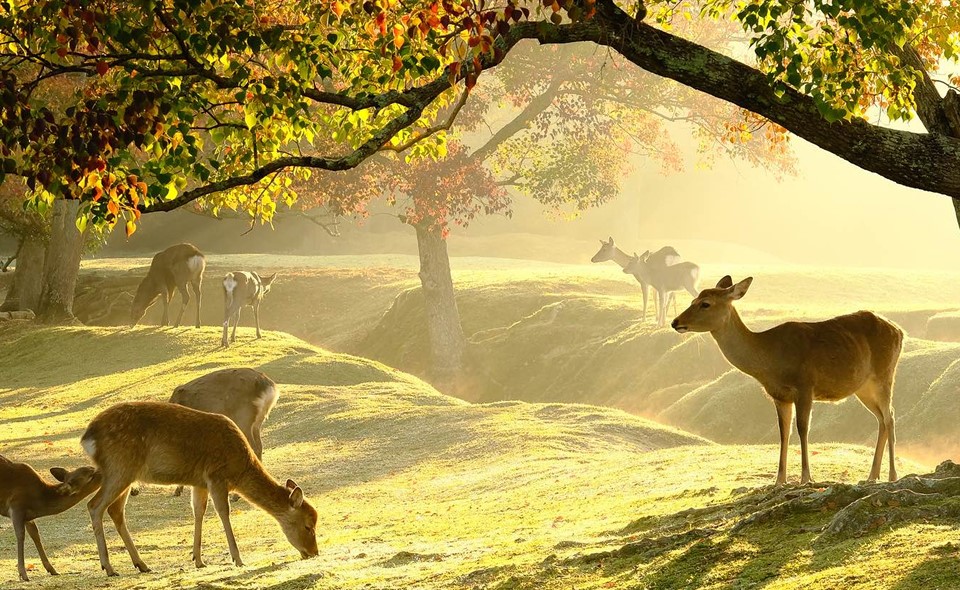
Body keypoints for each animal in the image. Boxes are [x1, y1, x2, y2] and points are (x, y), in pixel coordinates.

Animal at [0, 456, 101, 584]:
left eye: (91, 467)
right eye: (90, 475)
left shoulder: (28, 517)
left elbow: (35, 534)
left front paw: (52, 569)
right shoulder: (16, 506)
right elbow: (20, 535)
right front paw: (23, 574)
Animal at [80, 402, 316, 580]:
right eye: (308, 526)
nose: (314, 552)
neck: (239, 468)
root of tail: (87, 438)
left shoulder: (199, 482)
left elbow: (198, 511)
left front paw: (198, 560)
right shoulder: (216, 475)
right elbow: (223, 512)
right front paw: (238, 559)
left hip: (126, 475)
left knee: (115, 511)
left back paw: (142, 564)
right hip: (119, 468)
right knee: (94, 505)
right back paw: (109, 567)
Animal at [169, 370, 280, 500]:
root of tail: (270, 387)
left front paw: (178, 489)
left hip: (243, 419)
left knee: (253, 448)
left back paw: (236, 495)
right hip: (257, 423)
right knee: (259, 446)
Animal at [672, 276, 904, 486]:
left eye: (705, 303)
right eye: (692, 300)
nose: (676, 322)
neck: (770, 360)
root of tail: (900, 331)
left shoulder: (805, 386)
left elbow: (803, 428)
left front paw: (806, 478)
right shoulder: (779, 396)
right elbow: (784, 432)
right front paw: (779, 481)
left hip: (884, 375)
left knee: (890, 417)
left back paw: (892, 476)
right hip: (863, 388)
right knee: (881, 418)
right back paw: (872, 476)